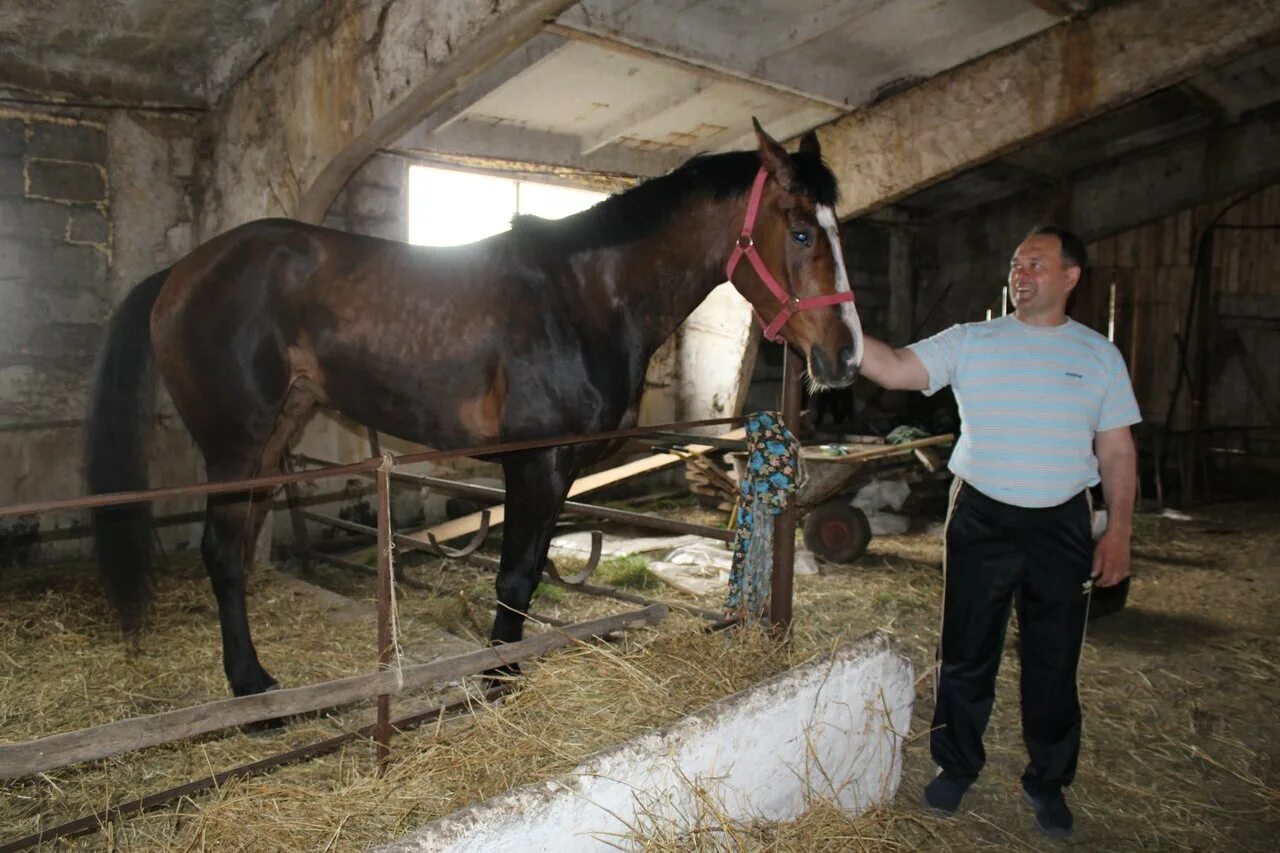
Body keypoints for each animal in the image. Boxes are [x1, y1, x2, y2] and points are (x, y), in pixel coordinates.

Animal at [85, 119, 870, 696]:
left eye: (839, 230)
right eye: (801, 229)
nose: (846, 355)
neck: (585, 294)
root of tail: (183, 271)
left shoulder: (557, 469)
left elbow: (528, 573)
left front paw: (507, 671)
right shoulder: (535, 462)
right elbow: (515, 575)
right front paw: (496, 680)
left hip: (277, 435)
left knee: (239, 550)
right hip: (235, 444)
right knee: (221, 553)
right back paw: (251, 687)